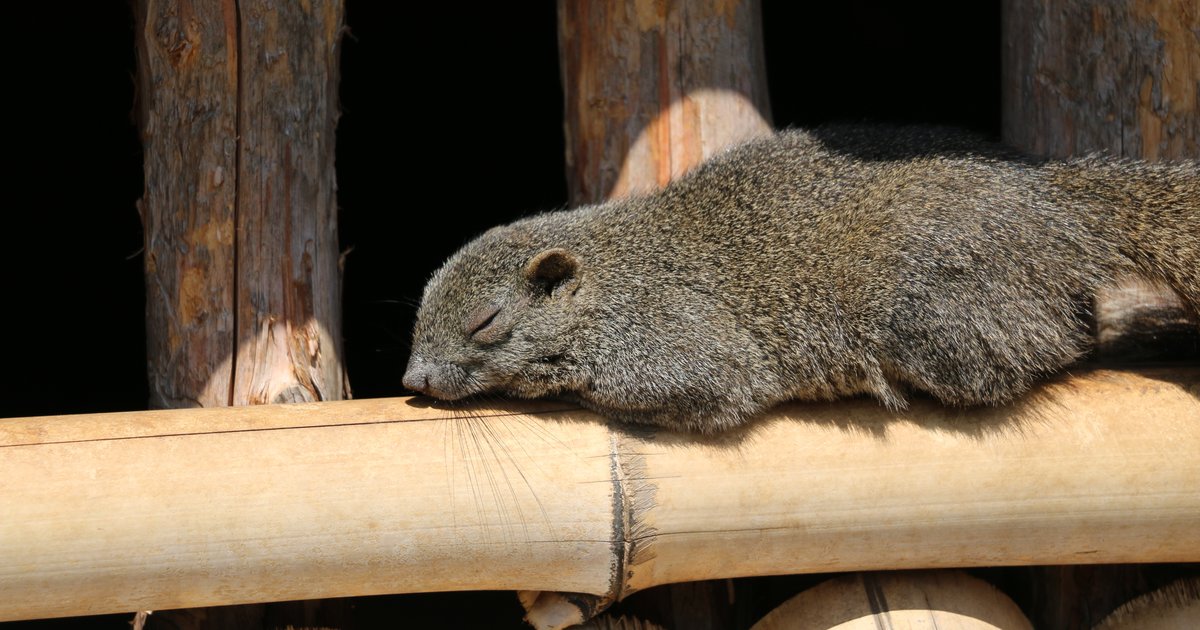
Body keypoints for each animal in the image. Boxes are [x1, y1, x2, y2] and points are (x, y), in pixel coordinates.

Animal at [403, 126, 1200, 434]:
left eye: (484, 324)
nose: (414, 379)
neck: (610, 279)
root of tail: (1058, 202)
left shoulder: (674, 333)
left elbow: (700, 386)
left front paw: (546, 377)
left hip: (932, 310)